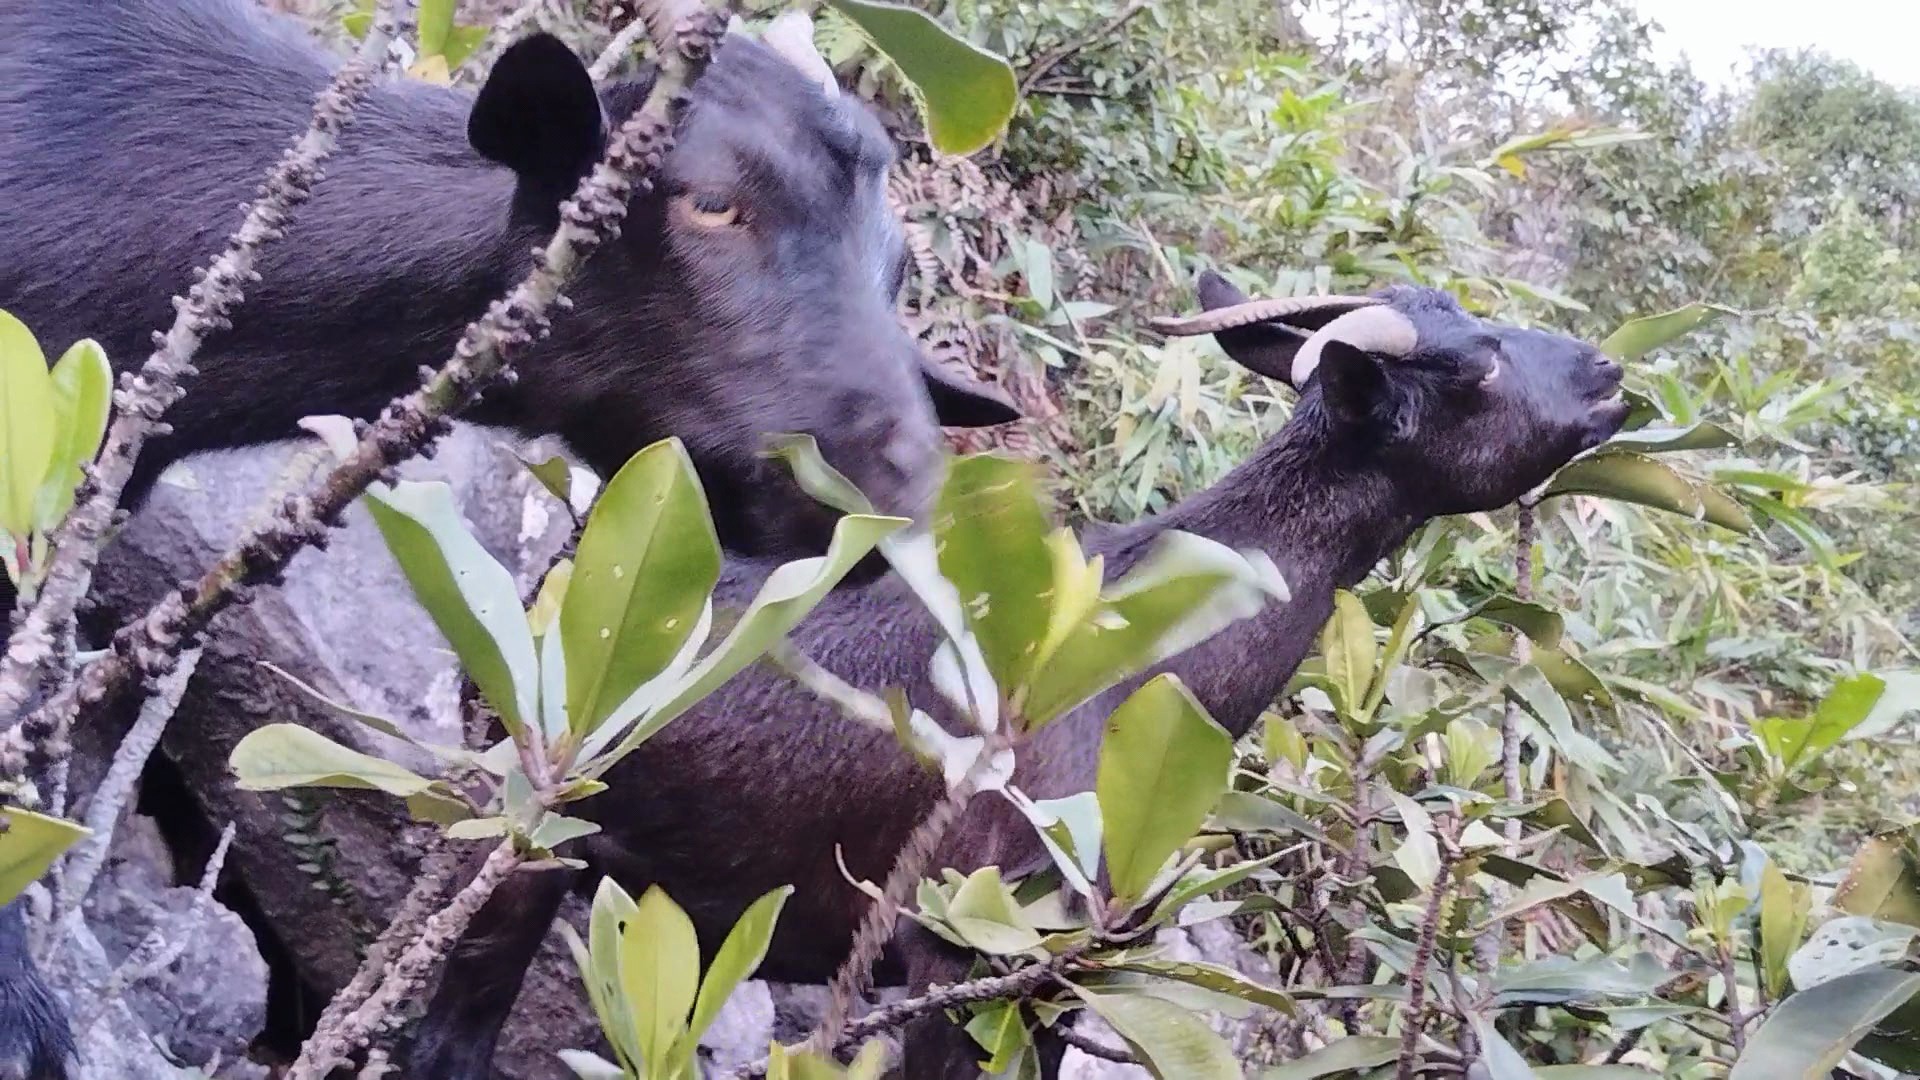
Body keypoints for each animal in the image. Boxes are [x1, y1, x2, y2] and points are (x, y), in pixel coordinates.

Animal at [408, 276, 1635, 1076]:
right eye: (1472, 368)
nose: (1609, 371)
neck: (1152, 668)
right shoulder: (951, 944)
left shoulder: (1055, 976)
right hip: (516, 838)